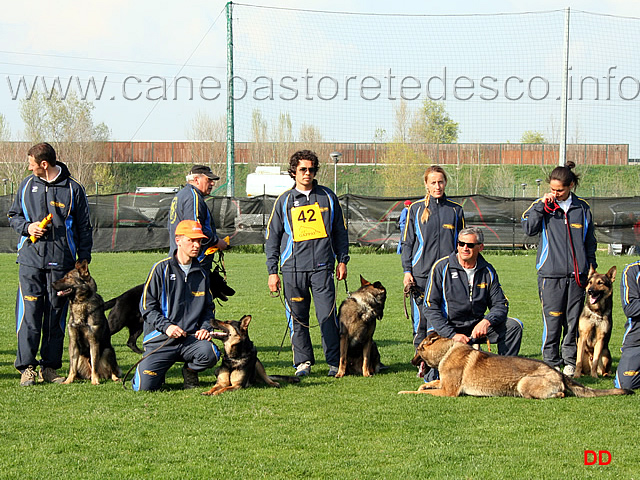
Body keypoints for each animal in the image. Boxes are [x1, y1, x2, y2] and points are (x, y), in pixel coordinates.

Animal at [105, 268, 235, 354]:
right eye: (223, 282)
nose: (233, 291)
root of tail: (118, 298)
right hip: (117, 324)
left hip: (138, 327)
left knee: (130, 342)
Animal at [398, 334, 632, 398]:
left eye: (417, 351)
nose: (410, 362)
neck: (446, 351)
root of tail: (557, 373)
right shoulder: (444, 383)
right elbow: (426, 386)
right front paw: (421, 385)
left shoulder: (448, 392)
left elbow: (420, 392)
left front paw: (405, 392)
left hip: (523, 384)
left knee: (560, 394)